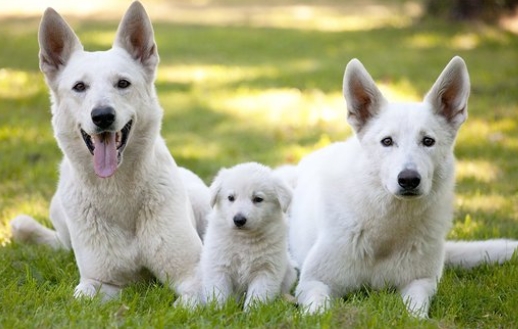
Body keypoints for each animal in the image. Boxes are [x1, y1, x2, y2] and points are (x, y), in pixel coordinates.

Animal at [9, 1, 206, 304]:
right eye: (79, 87)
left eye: (123, 83)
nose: (102, 116)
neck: (117, 190)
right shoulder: (98, 283)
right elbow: (82, 297)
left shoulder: (195, 276)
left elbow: (187, 303)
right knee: (61, 243)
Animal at [204, 163, 300, 308]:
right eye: (231, 198)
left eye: (258, 199)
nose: (239, 220)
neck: (244, 239)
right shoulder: (218, 266)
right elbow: (219, 293)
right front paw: (218, 310)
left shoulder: (266, 270)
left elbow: (257, 296)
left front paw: (251, 311)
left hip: (289, 271)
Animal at [290, 57, 518, 316]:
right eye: (387, 141)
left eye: (428, 141)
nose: (409, 179)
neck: (387, 230)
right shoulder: (314, 282)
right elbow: (318, 311)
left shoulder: (421, 283)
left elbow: (415, 311)